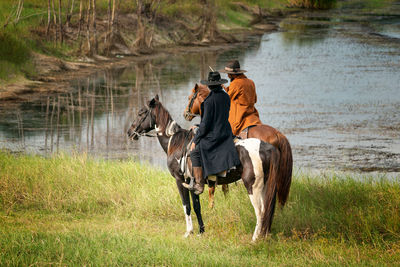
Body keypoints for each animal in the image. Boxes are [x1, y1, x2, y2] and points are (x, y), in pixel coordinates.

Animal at [128, 95, 282, 242]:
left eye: (141, 113)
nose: (130, 132)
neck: (176, 143)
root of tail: (267, 147)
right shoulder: (192, 183)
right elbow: (197, 207)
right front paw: (201, 231)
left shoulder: (180, 180)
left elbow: (186, 206)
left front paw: (188, 232)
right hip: (265, 185)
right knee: (267, 209)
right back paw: (264, 235)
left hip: (253, 186)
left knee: (260, 211)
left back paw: (255, 239)